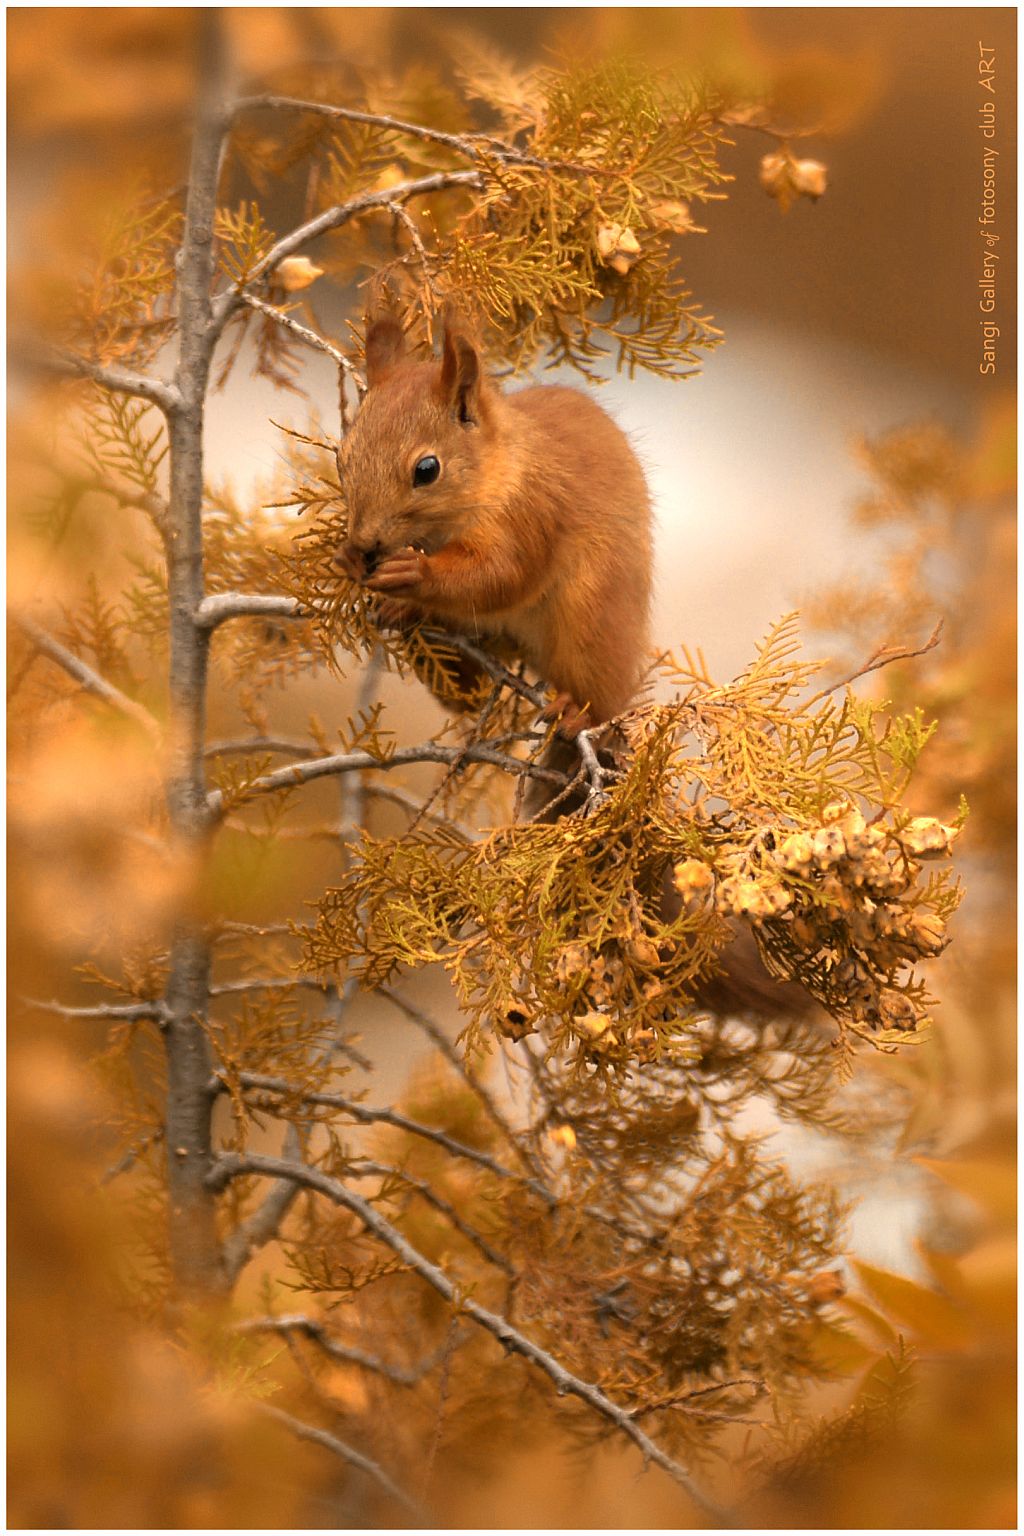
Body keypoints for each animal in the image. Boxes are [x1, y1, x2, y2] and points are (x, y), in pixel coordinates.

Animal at [337, 311, 657, 737]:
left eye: (427, 470)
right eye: (342, 458)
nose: (366, 542)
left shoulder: (531, 513)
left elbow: (503, 575)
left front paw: (416, 571)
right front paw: (349, 559)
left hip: (594, 613)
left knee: (603, 691)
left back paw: (579, 711)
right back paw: (406, 613)